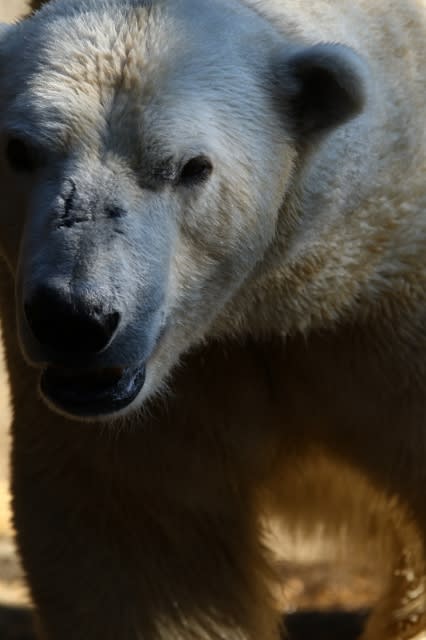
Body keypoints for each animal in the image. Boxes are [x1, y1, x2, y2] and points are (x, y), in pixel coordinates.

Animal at [0, 0, 424, 636]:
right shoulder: (179, 388)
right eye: (19, 151)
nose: (74, 318)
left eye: (191, 167)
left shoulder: (382, 319)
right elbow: (142, 534)